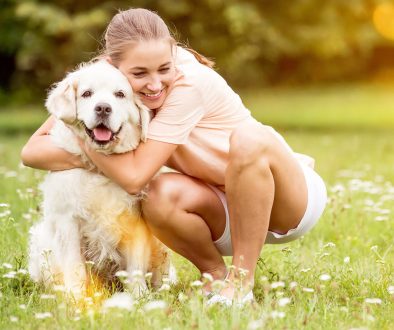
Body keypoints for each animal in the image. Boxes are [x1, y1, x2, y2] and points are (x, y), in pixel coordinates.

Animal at [28, 60, 173, 298]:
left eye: (120, 94)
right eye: (87, 93)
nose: (103, 108)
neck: (103, 168)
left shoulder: (136, 222)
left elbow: (135, 266)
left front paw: (139, 296)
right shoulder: (68, 221)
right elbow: (75, 267)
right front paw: (76, 298)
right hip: (41, 239)